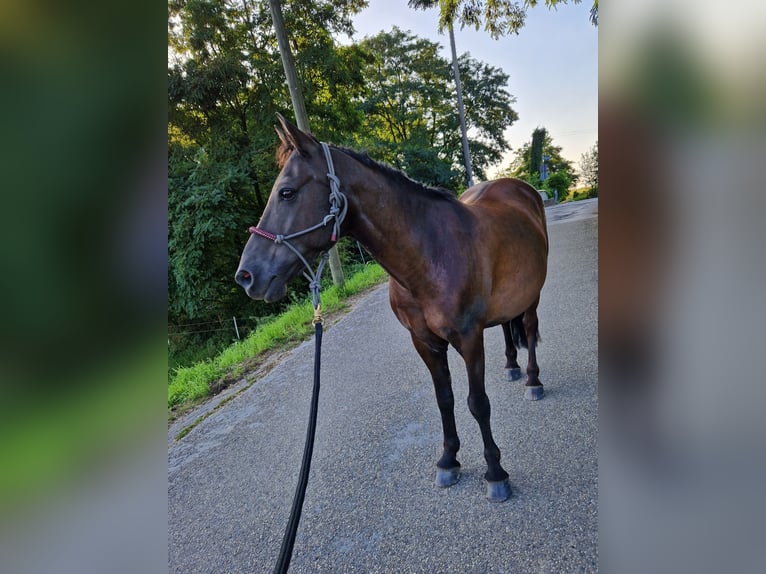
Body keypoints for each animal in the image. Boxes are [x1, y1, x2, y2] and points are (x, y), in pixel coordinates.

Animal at [237, 116, 548, 504]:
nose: (247, 275)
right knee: (508, 327)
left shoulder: (468, 337)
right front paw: (448, 460)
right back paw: (511, 366)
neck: (429, 254)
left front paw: (495, 472)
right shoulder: (424, 341)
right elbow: (444, 399)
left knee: (530, 330)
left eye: (287, 192)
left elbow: (478, 403)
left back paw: (533, 380)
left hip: (532, 296)